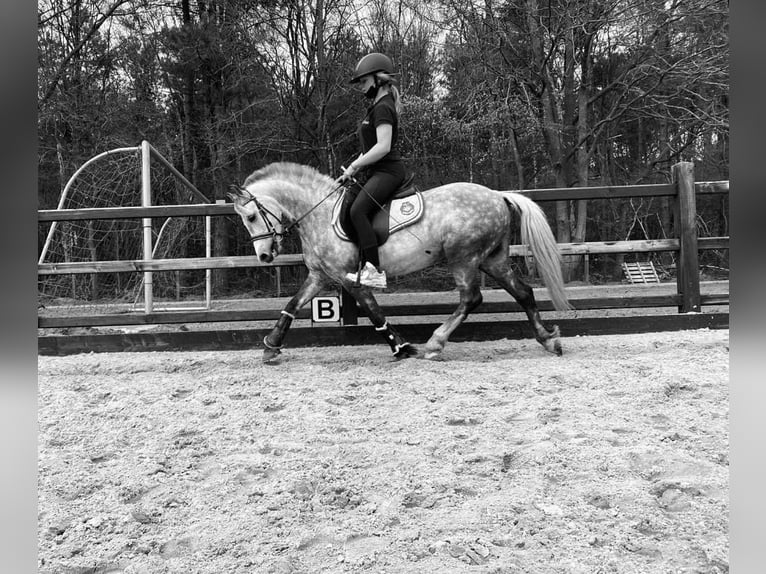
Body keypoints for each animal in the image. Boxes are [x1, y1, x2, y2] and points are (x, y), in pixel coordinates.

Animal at [228, 162, 572, 363]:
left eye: (251, 216)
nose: (264, 256)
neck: (319, 213)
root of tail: (497, 194)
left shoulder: (348, 277)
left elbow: (373, 311)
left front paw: (402, 347)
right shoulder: (320, 276)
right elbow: (292, 305)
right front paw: (271, 345)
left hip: (464, 258)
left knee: (471, 298)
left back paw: (434, 344)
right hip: (492, 259)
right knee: (523, 292)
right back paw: (548, 340)